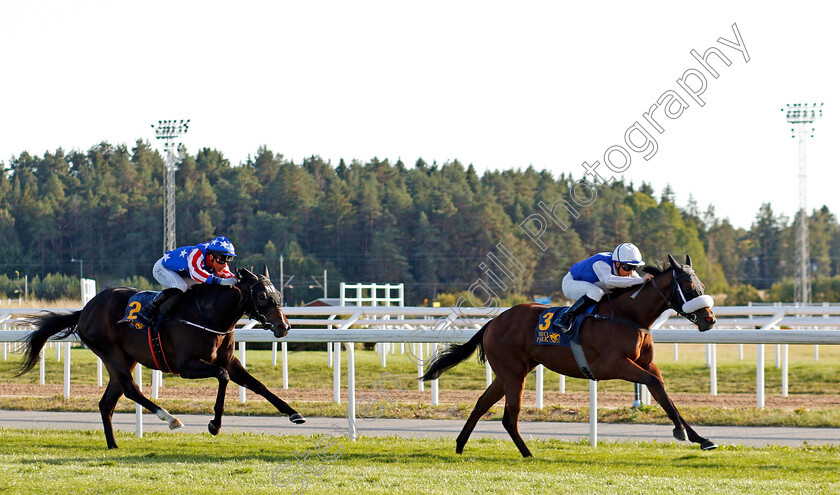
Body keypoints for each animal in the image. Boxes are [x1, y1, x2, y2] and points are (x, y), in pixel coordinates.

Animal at [18, 268, 306, 450]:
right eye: (261, 295)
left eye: (278, 295)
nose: (283, 327)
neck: (209, 315)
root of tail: (85, 309)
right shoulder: (186, 367)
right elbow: (223, 377)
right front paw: (214, 424)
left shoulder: (229, 361)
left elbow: (257, 385)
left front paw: (294, 413)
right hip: (111, 352)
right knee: (130, 389)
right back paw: (169, 418)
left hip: (124, 358)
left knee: (107, 402)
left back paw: (113, 445)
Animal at [424, 256, 720, 458]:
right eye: (688, 286)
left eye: (702, 284)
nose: (710, 319)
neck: (629, 316)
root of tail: (494, 322)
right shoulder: (615, 365)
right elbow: (655, 386)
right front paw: (680, 432)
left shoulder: (647, 364)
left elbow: (663, 393)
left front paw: (701, 438)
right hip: (513, 374)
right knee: (509, 417)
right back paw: (528, 454)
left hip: (510, 372)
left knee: (481, 404)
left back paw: (460, 445)